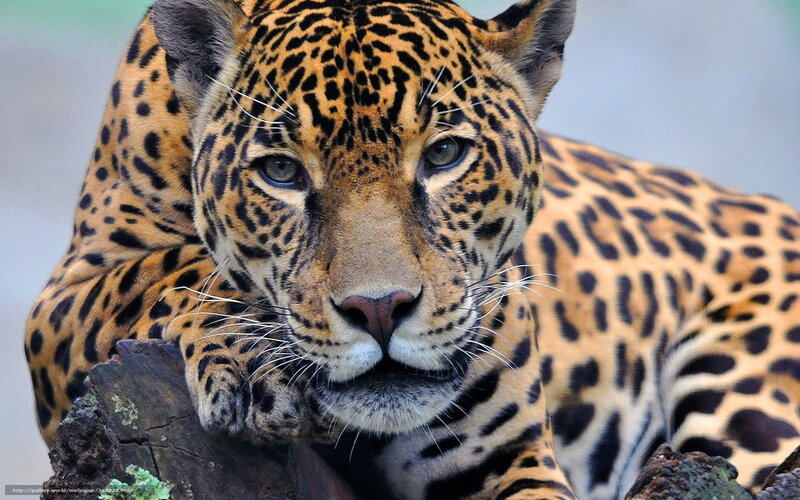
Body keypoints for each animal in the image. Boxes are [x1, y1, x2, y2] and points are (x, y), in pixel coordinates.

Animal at [24, 0, 800, 498]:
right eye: (281, 173)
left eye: (445, 156)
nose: (381, 309)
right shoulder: (63, 298)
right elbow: (169, 269)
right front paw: (252, 363)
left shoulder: (508, 458)